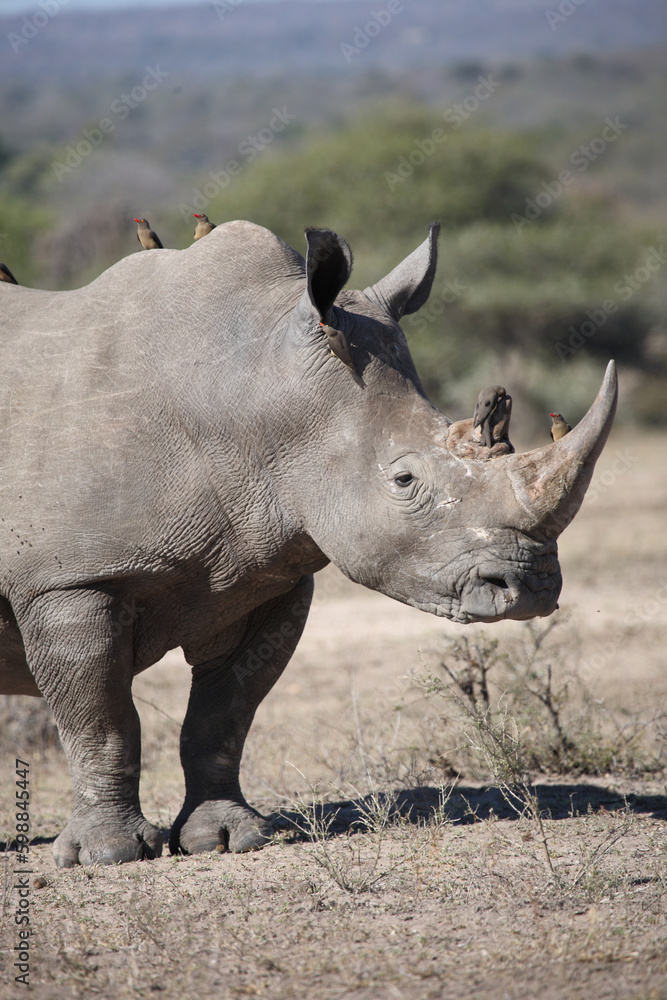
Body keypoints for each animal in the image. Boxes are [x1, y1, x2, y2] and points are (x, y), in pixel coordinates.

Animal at [0, 220, 616, 866]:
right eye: (404, 481)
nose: (532, 587)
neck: (253, 397)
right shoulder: (67, 578)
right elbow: (102, 718)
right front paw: (110, 854)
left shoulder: (263, 571)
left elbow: (224, 714)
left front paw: (228, 838)